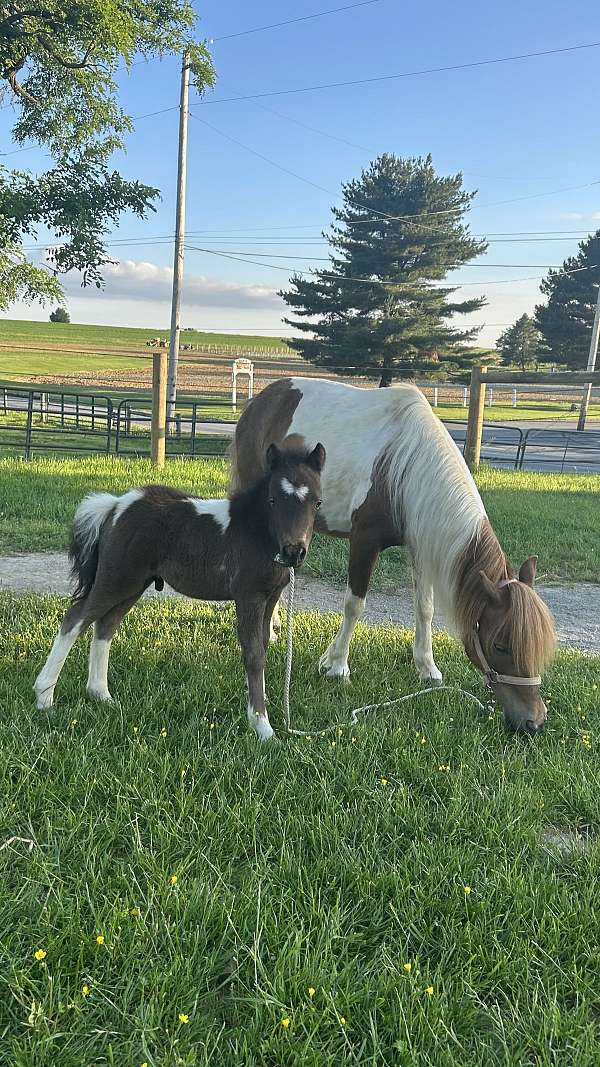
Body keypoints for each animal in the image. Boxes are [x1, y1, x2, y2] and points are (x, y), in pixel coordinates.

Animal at [34, 442, 326, 741]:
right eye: (272, 500)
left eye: (317, 502)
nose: (293, 552)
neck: (256, 533)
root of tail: (116, 506)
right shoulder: (249, 597)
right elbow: (254, 654)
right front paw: (263, 727)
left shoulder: (271, 597)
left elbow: (263, 647)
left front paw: (260, 711)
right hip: (116, 578)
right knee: (75, 618)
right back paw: (44, 698)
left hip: (134, 585)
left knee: (106, 625)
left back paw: (101, 695)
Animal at [231, 377, 557, 735]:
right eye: (501, 645)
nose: (534, 721)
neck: (406, 467)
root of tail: (262, 399)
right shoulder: (364, 542)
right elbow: (354, 605)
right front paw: (337, 665)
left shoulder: (420, 547)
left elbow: (425, 609)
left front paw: (427, 668)